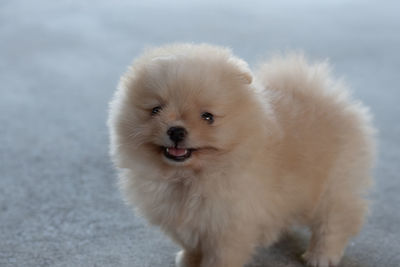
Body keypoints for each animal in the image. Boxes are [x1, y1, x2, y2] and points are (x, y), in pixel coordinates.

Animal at [107, 44, 376, 267]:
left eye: (208, 117)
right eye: (155, 110)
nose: (176, 130)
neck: (188, 178)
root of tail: (323, 96)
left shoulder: (229, 228)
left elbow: (219, 258)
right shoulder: (187, 221)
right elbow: (191, 244)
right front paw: (188, 259)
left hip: (334, 184)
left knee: (336, 219)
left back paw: (321, 256)